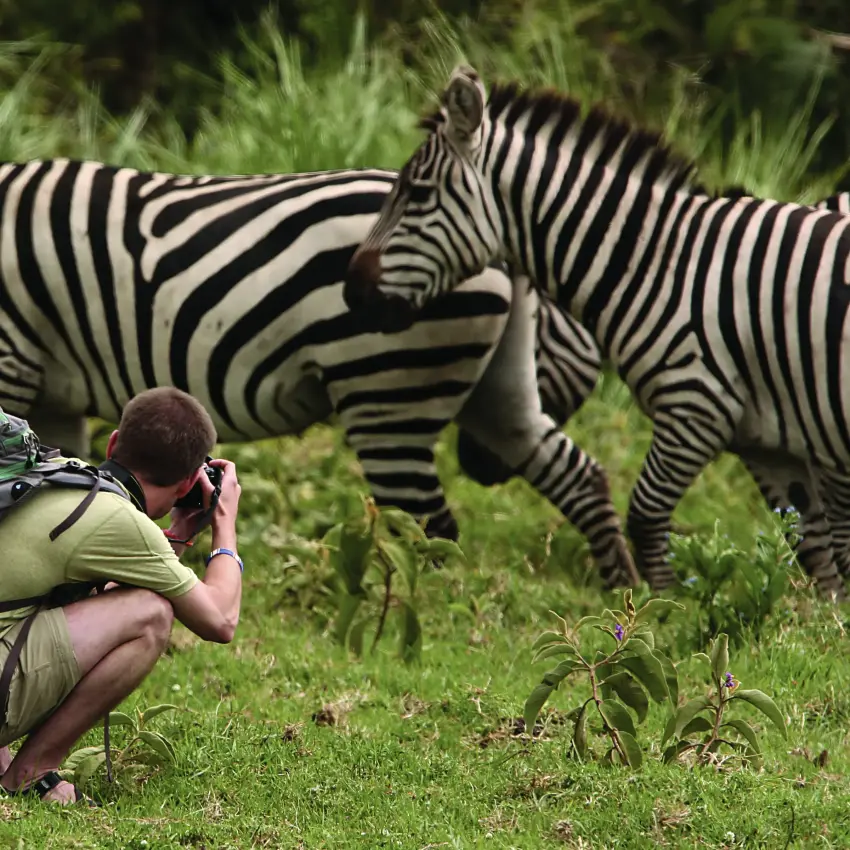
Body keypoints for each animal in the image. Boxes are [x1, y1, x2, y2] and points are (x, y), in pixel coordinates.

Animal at [0, 157, 637, 585]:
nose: (480, 471)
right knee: (576, 474)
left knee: (430, 526)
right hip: (493, 391)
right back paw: (621, 589)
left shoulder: (12, 354)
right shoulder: (52, 393)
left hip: (387, 385)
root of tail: (495, 237)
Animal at [343, 64, 850, 601]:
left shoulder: (696, 406)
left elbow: (646, 515)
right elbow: (812, 544)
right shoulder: (768, 440)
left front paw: (665, 609)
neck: (656, 262)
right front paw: (821, 618)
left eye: (418, 192)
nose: (351, 289)